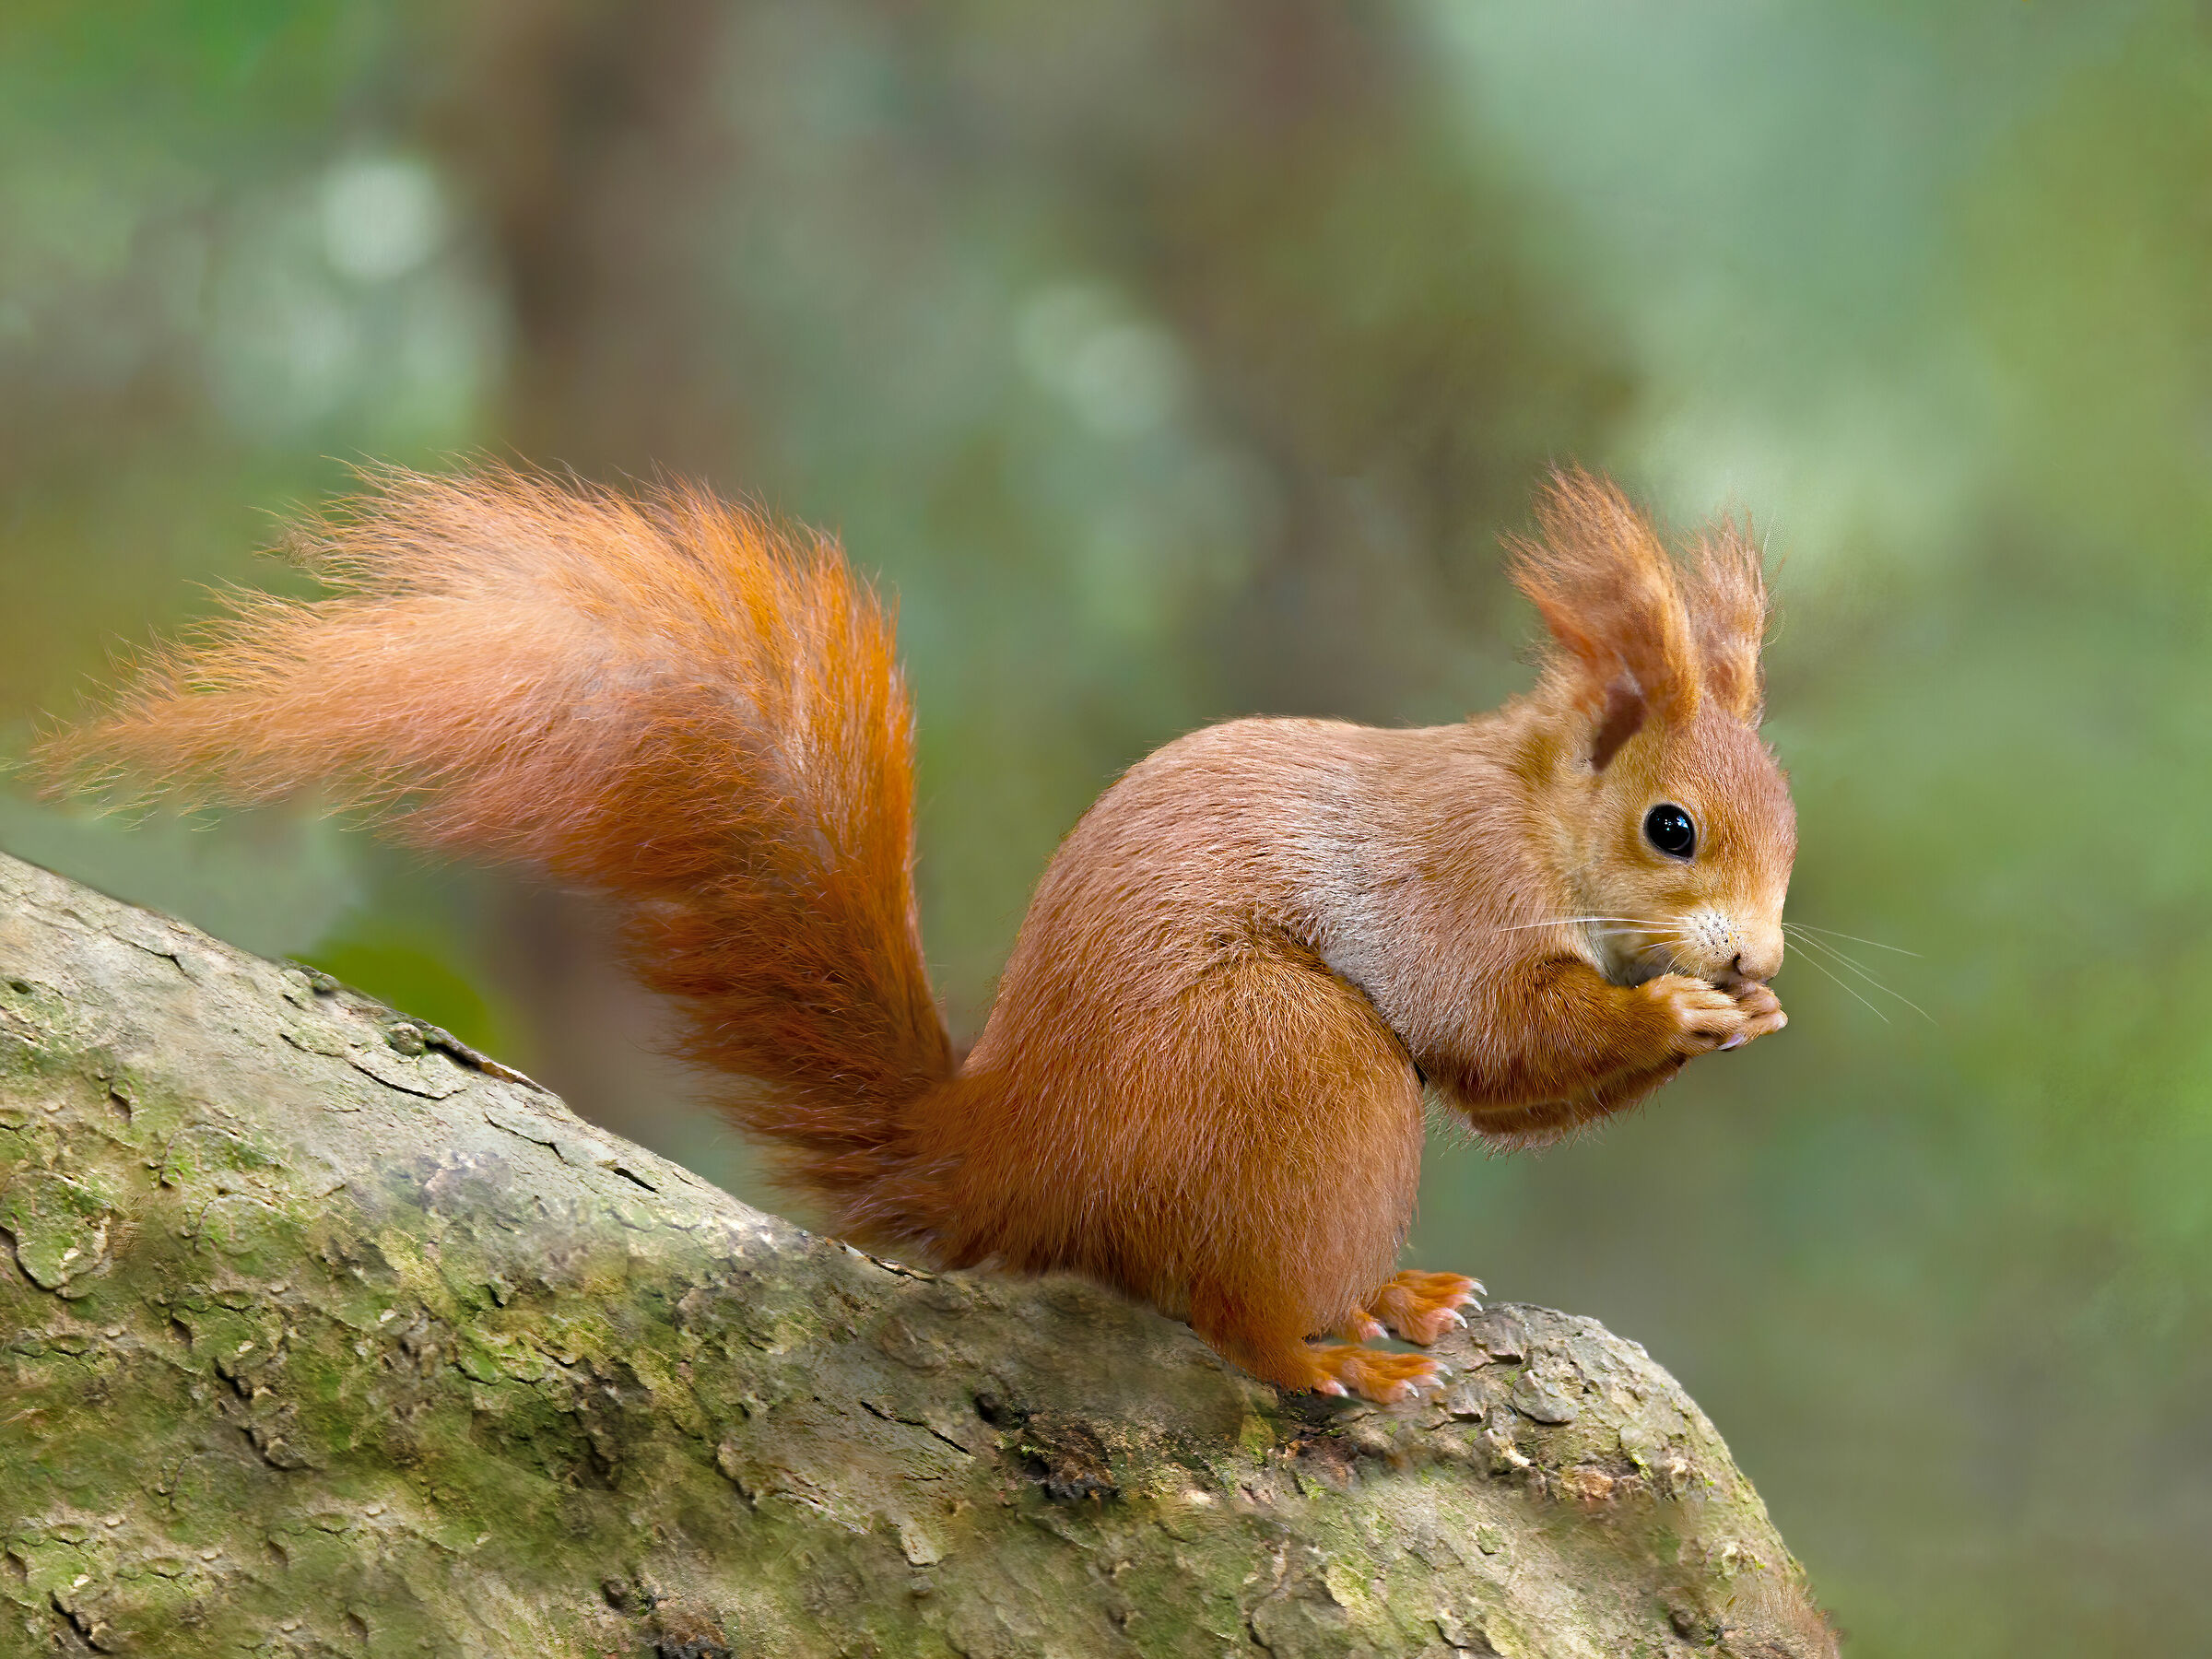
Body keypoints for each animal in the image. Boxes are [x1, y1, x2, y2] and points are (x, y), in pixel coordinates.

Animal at [38, 463, 1794, 1404]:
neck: (1532, 811)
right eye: (1672, 828)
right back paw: (1329, 1352)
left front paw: (1739, 1022)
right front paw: (1677, 1018)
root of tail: (1014, 1150)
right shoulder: (1451, 886)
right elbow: (1493, 1032)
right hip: (1291, 1067)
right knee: (1225, 1297)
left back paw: (1393, 1299)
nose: (1761, 959)